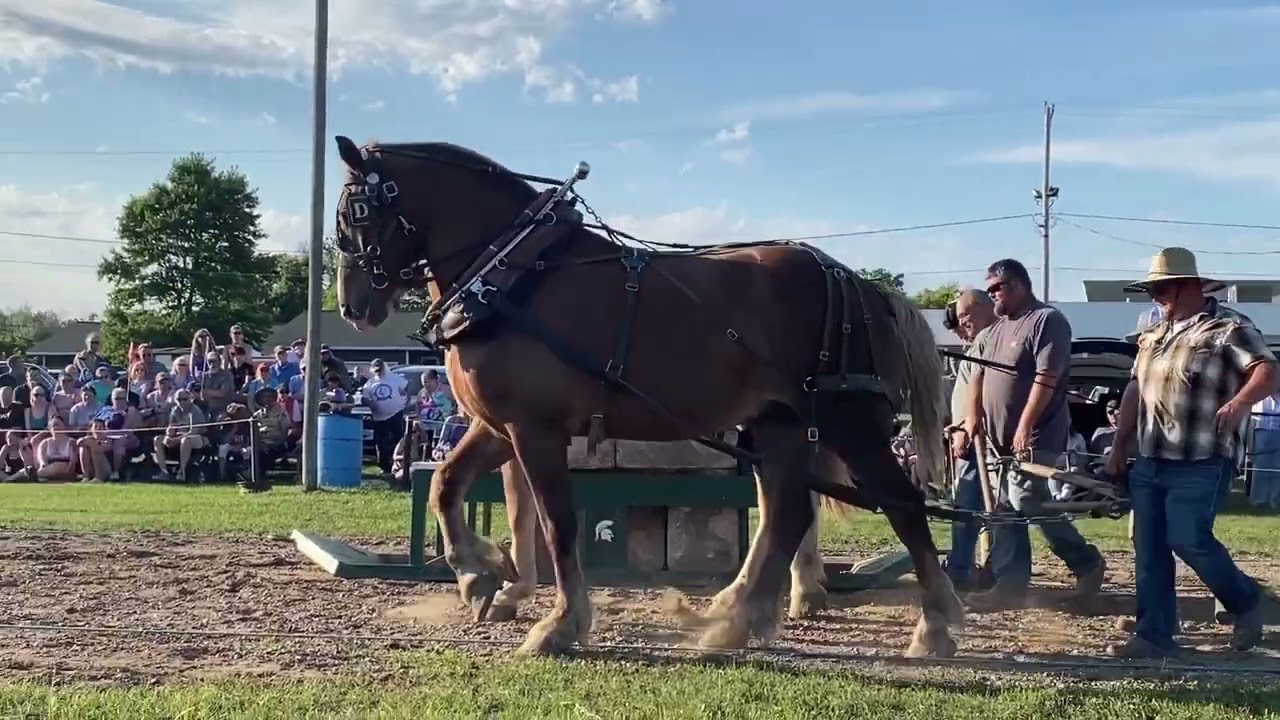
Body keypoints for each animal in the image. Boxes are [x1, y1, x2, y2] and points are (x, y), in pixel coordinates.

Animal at [330, 136, 963, 657]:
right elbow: (446, 484)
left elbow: (558, 522)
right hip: (779, 424)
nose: (353, 306)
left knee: (901, 503)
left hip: (848, 420)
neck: (514, 272)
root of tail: (858, 283)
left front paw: (560, 623)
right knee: (786, 513)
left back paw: (934, 624)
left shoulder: (537, 428)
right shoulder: (498, 425)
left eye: (357, 213)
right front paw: (478, 574)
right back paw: (737, 617)